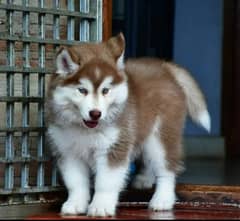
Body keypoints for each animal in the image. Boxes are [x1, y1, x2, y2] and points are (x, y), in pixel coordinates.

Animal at [45, 33, 210, 218]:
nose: (95, 113)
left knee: (166, 170)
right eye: (82, 90)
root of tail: (164, 67)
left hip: (160, 136)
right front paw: (75, 204)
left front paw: (100, 206)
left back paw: (162, 200)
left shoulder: (114, 147)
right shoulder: (68, 152)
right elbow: (76, 183)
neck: (85, 130)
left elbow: (106, 182)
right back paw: (145, 179)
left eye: (105, 90)